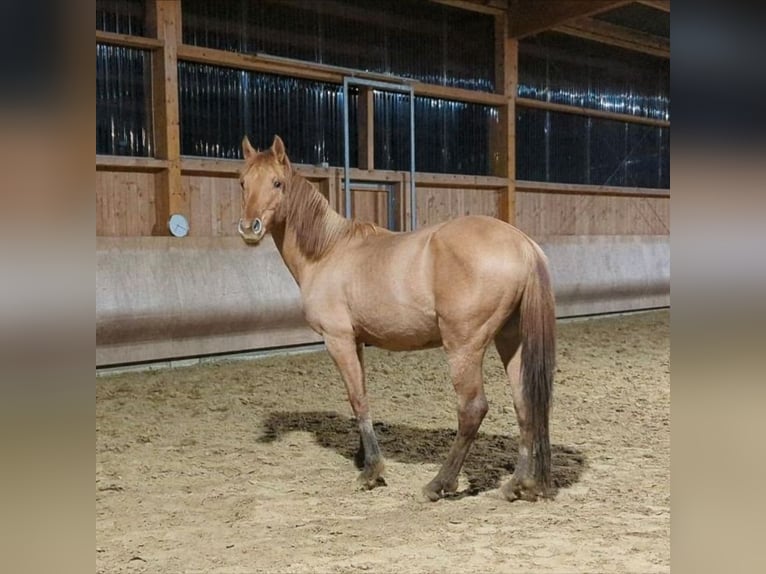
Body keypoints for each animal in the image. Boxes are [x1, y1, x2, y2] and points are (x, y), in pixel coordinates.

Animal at [237, 135, 556, 504]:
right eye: (243, 182)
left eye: (277, 183)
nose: (249, 228)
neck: (327, 251)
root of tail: (522, 244)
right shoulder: (357, 341)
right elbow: (359, 395)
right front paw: (363, 457)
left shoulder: (338, 339)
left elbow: (358, 398)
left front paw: (371, 471)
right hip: (511, 340)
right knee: (525, 404)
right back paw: (520, 484)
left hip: (464, 346)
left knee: (472, 409)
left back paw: (439, 483)